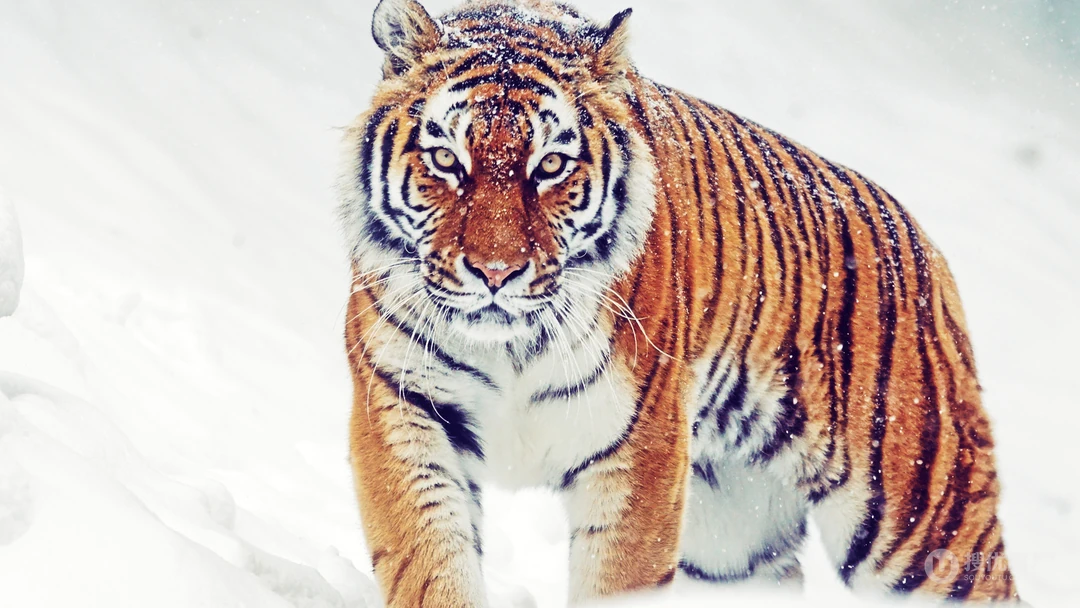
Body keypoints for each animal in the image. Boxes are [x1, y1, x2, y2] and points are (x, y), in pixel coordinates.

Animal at [337, 0, 1020, 605]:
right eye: (445, 159)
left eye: (550, 165)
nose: (496, 272)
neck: (510, 347)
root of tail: (926, 246)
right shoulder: (403, 411)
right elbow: (431, 566)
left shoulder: (640, 452)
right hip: (733, 541)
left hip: (920, 520)